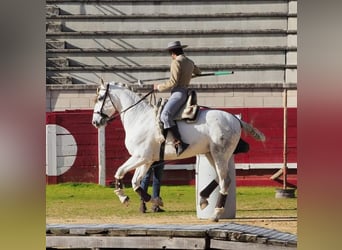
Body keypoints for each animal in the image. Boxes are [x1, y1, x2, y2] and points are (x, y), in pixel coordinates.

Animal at [91, 81, 264, 222]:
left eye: (100, 98)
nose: (95, 122)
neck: (139, 118)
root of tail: (235, 119)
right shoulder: (147, 160)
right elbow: (135, 182)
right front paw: (153, 200)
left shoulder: (140, 156)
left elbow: (119, 171)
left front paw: (123, 197)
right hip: (211, 154)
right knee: (221, 178)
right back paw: (203, 199)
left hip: (220, 154)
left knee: (225, 180)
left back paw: (215, 214)